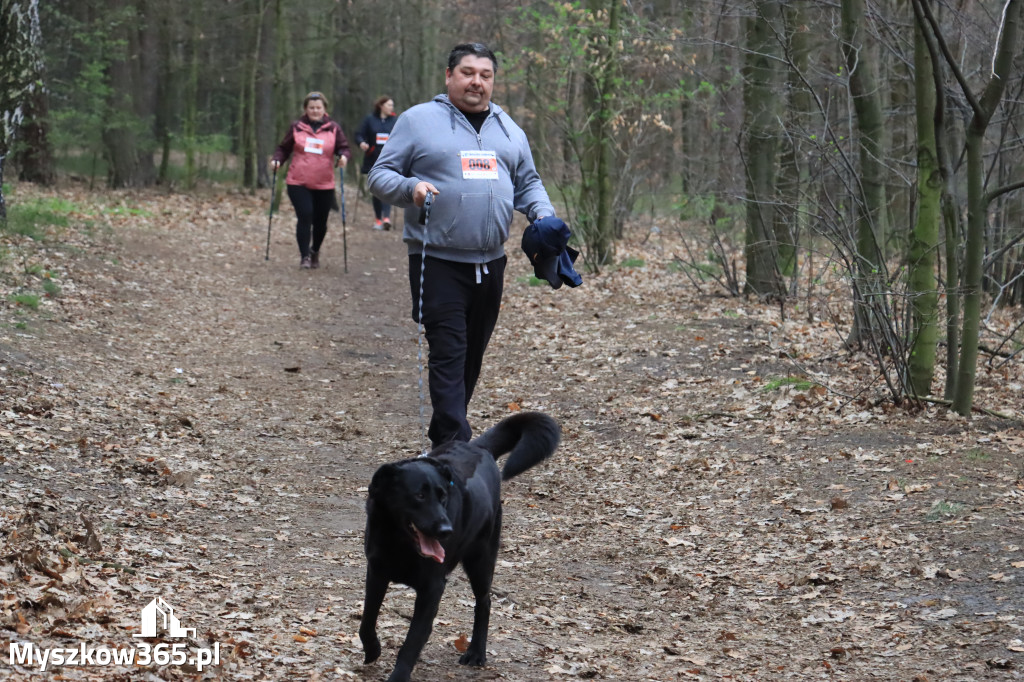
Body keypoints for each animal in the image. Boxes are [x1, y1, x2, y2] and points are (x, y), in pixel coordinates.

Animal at [360, 409, 561, 679]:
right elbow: (367, 619)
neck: (400, 543)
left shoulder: (432, 588)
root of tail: (478, 447)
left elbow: (412, 641)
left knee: (484, 603)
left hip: (481, 561)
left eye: (443, 496)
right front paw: (372, 649)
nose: (447, 530)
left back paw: (476, 652)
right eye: (419, 495)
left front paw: (399, 675)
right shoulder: (377, 573)